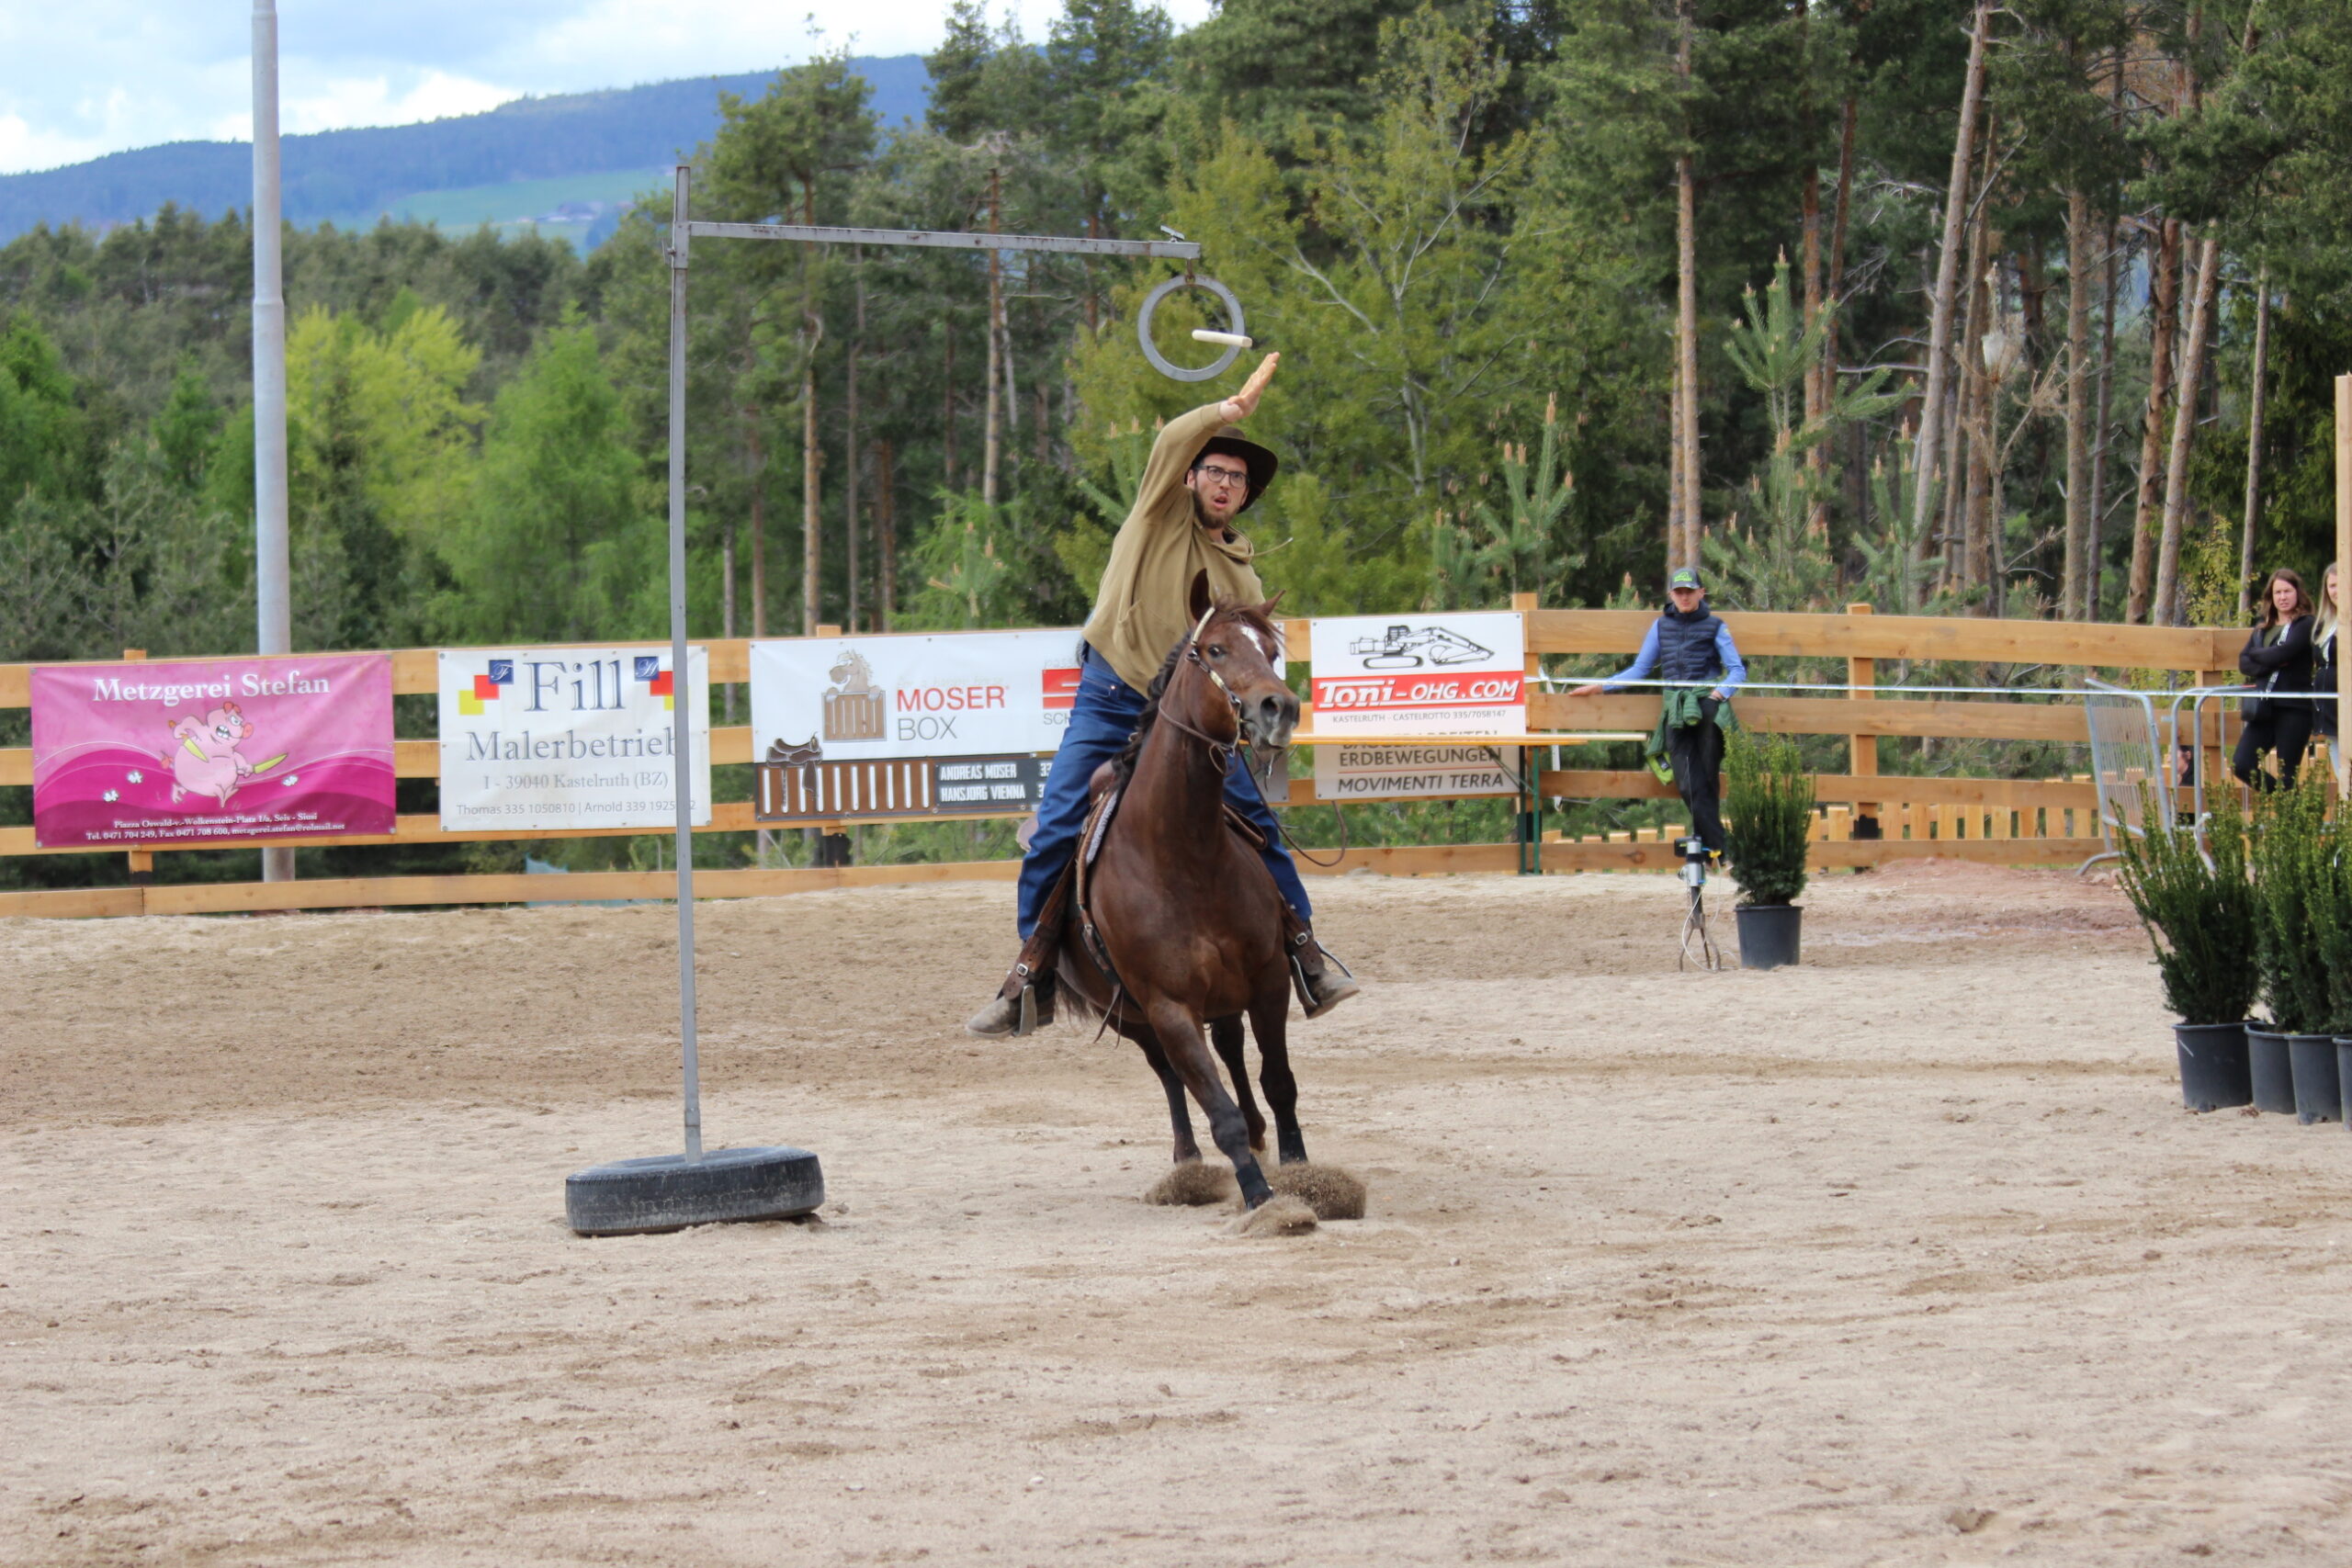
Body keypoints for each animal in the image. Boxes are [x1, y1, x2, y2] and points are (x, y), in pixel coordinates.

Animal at [1053, 575, 1308, 1211]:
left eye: (1271, 652)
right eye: (1215, 650)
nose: (1281, 707)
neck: (1184, 857)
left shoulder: (1270, 979)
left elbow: (1278, 1081)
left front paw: (1300, 1170)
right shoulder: (1168, 1006)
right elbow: (1218, 1110)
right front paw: (1262, 1199)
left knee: (1232, 1049)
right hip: (1133, 1017)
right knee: (1172, 1074)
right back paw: (1188, 1162)